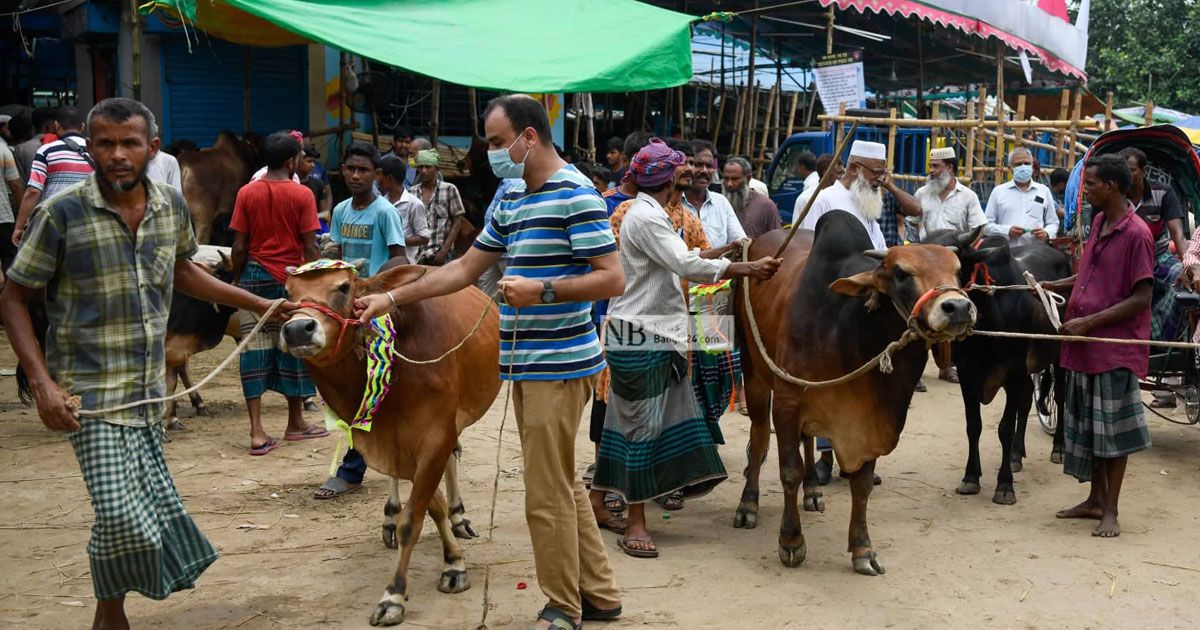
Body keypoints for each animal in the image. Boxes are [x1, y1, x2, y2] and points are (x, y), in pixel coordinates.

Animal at [278, 261, 499, 624]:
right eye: (288, 293)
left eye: (343, 287)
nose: (298, 329)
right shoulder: (391, 441)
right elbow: (428, 507)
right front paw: (451, 558)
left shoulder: (436, 437)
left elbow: (416, 518)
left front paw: (396, 594)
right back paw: (391, 516)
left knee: (453, 460)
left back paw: (459, 517)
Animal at [729, 210, 974, 573]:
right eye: (901, 273)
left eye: (957, 270)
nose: (957, 307)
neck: (848, 328)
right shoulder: (787, 402)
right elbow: (788, 470)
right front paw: (791, 541)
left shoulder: (871, 419)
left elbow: (861, 485)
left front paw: (862, 549)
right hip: (755, 373)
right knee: (758, 441)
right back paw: (748, 504)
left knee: (807, 439)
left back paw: (812, 491)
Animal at [926, 228, 1070, 504]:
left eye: (955, 265)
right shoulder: (967, 375)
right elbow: (973, 426)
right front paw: (971, 477)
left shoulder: (1012, 374)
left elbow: (1004, 428)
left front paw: (1004, 486)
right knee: (1026, 403)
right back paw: (1015, 455)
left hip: (1060, 356)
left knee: (1059, 396)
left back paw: (1058, 449)